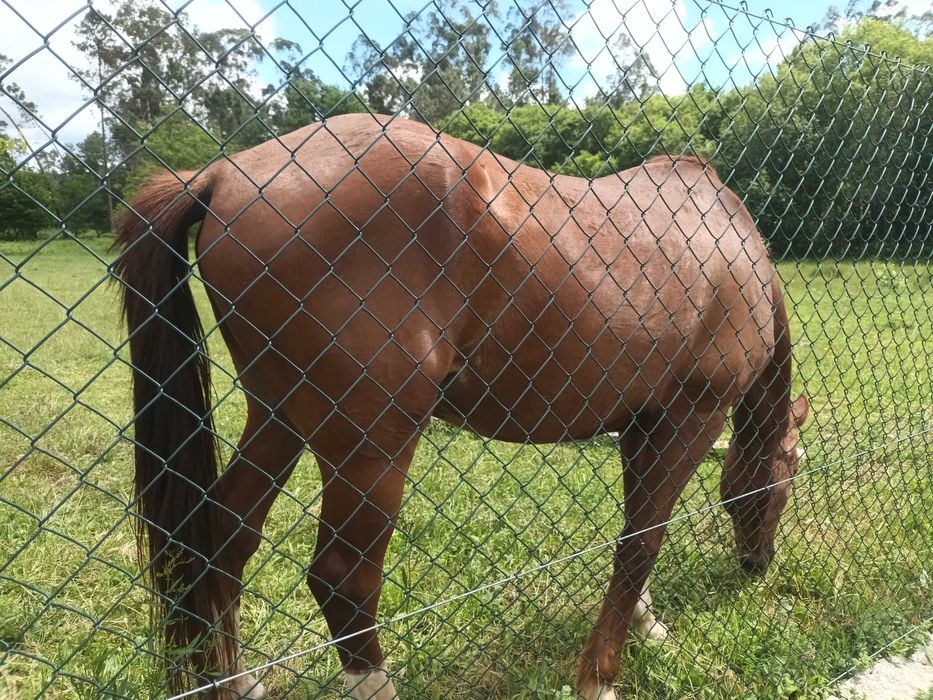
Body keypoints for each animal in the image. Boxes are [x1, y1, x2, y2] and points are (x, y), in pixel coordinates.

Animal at [114, 113, 808, 700]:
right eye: (781, 487)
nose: (757, 564)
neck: (731, 246)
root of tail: (225, 173)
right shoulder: (689, 422)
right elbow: (642, 540)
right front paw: (600, 675)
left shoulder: (641, 428)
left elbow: (634, 533)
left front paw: (643, 620)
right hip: (371, 444)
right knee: (341, 577)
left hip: (280, 416)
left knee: (222, 541)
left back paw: (235, 682)